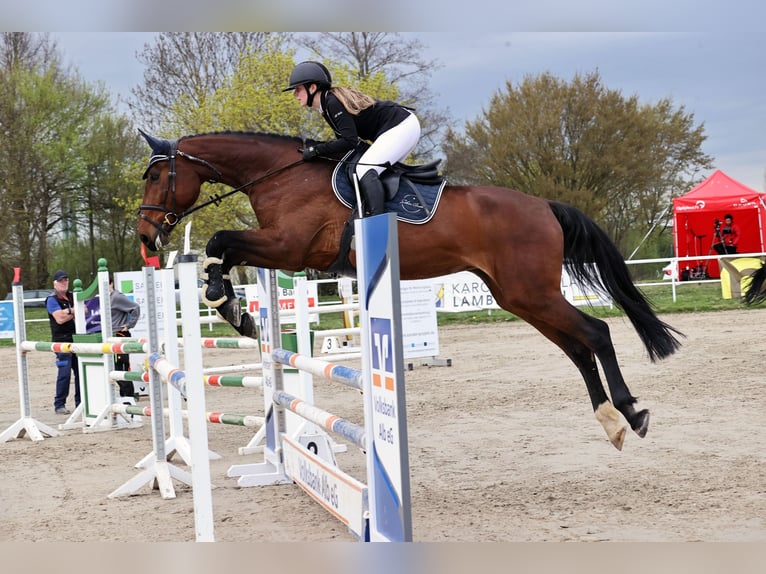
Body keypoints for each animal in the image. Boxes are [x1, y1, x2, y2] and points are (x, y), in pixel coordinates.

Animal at [138, 130, 684, 450]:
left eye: (156, 175)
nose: (146, 237)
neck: (280, 176)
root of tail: (544, 205)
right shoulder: (282, 252)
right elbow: (225, 249)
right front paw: (236, 309)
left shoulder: (289, 248)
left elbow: (219, 240)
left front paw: (224, 300)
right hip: (518, 296)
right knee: (576, 347)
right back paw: (610, 420)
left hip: (532, 292)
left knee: (594, 335)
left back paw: (631, 413)